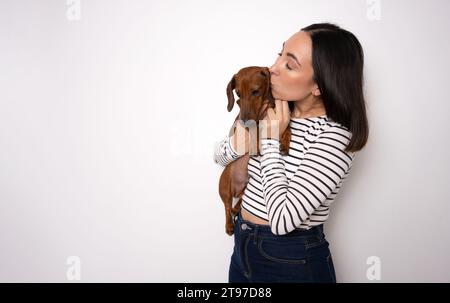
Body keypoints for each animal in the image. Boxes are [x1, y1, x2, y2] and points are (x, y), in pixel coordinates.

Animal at [219, 66, 292, 236]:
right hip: (225, 186)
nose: (245, 121)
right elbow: (255, 127)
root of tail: (237, 189)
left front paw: (285, 142)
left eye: (255, 91)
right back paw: (229, 225)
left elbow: (287, 126)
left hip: (245, 186)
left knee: (238, 201)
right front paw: (256, 144)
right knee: (226, 207)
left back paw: (237, 208)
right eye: (238, 93)